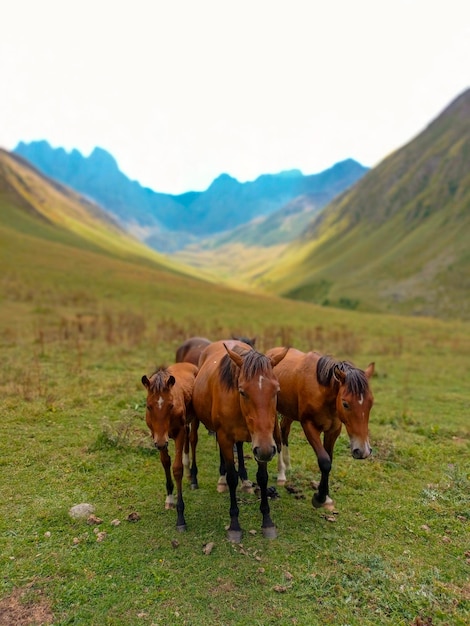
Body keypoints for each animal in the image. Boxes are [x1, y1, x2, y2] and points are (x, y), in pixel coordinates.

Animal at [140, 360, 198, 528]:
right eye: (148, 406)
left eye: (171, 405)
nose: (160, 443)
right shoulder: (156, 435)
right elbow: (165, 462)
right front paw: (170, 499)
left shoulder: (179, 432)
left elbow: (177, 469)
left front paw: (180, 518)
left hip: (195, 418)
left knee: (193, 439)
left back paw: (193, 478)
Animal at [190, 338, 286, 540]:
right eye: (242, 392)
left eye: (276, 390)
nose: (266, 450)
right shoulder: (226, 438)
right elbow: (231, 476)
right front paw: (234, 525)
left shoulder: (262, 442)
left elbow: (263, 477)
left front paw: (267, 521)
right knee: (194, 441)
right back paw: (201, 478)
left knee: (240, 447)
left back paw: (244, 479)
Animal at [268, 346, 374, 508]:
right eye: (345, 404)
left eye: (371, 403)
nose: (363, 451)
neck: (322, 392)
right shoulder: (309, 426)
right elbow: (324, 461)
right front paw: (319, 498)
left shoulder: (333, 430)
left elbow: (329, 459)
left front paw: (327, 496)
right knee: (278, 438)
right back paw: (281, 473)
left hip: (290, 412)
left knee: (285, 431)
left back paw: (288, 465)